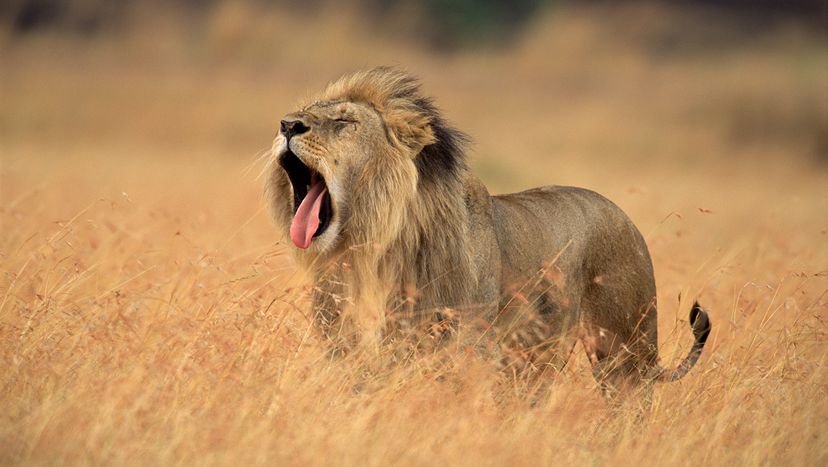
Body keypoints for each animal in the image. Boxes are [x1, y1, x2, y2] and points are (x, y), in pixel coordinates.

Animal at [266, 67, 712, 400]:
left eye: (344, 122)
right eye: (303, 113)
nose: (287, 124)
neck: (371, 251)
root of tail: (627, 219)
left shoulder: (460, 353)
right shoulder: (344, 349)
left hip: (624, 355)